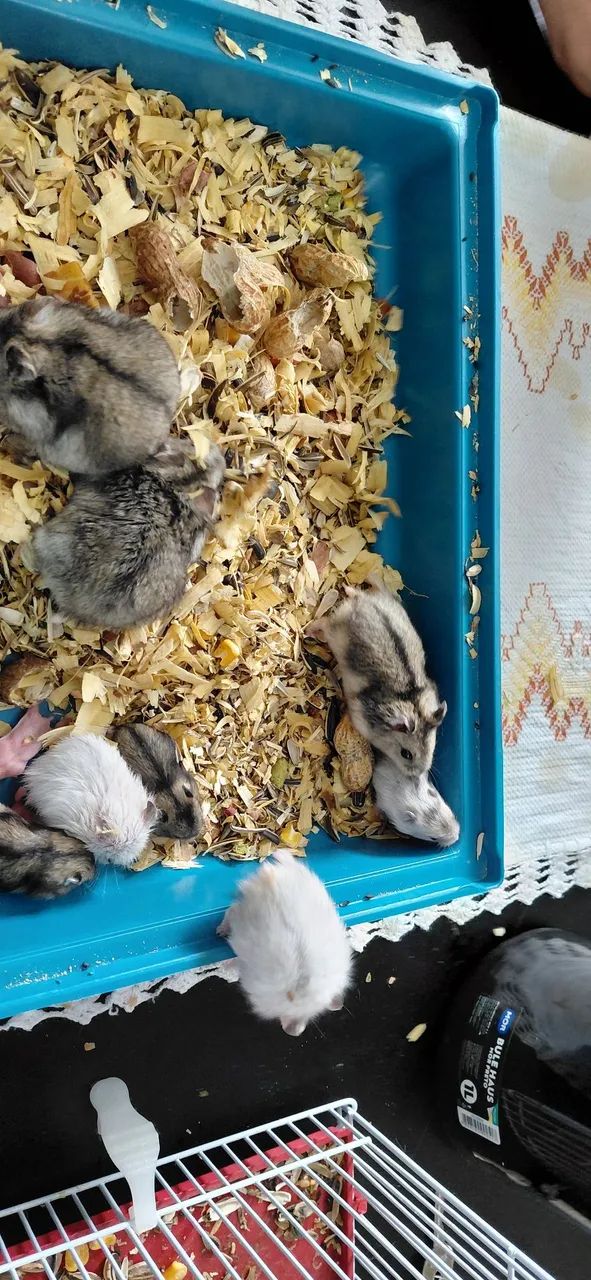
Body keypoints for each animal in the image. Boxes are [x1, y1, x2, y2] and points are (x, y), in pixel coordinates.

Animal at [313, 587, 446, 778]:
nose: (416, 775)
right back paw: (309, 630)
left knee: (355, 592)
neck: (411, 702)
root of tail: (362, 603)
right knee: (323, 622)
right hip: (333, 634)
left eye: (433, 750)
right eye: (406, 754)